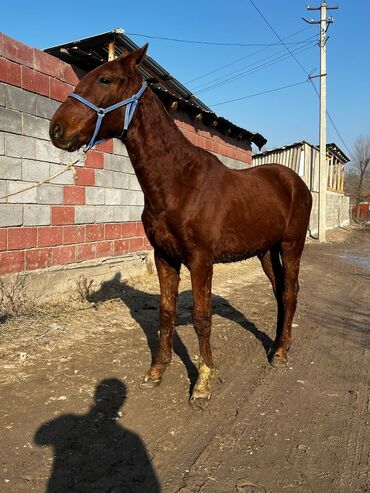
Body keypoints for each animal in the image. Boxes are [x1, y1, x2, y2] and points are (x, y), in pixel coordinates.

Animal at [49, 44, 312, 406]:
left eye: (105, 79)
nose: (56, 130)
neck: (179, 181)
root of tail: (294, 181)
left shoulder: (201, 260)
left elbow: (202, 317)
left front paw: (202, 383)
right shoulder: (164, 257)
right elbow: (166, 312)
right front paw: (157, 371)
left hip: (291, 246)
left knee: (290, 292)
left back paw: (282, 352)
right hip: (266, 252)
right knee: (280, 293)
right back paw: (274, 346)